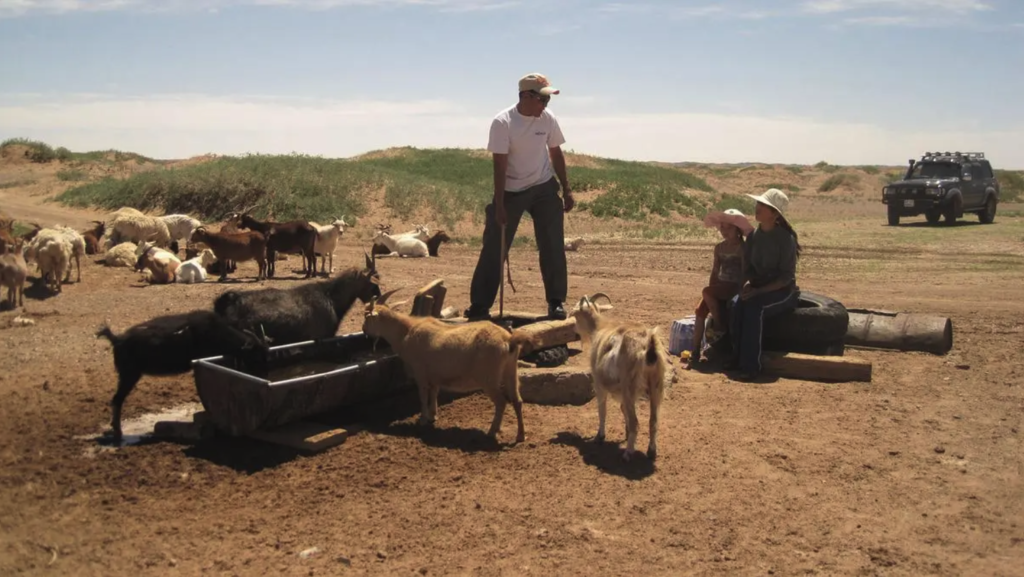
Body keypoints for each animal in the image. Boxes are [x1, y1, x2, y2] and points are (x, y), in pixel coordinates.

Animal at [96, 311, 270, 442]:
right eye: (256, 357)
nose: (264, 376)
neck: (216, 332)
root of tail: (117, 339)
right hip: (129, 374)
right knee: (117, 399)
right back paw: (118, 432)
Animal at [360, 286, 536, 442]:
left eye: (366, 317)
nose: (364, 330)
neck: (407, 332)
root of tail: (508, 340)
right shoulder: (434, 375)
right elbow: (434, 392)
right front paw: (433, 416)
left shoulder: (420, 371)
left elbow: (423, 395)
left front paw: (423, 419)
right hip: (510, 372)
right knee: (517, 400)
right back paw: (520, 436)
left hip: (489, 377)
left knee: (501, 402)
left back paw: (492, 432)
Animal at [569, 295, 671, 463]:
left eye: (575, 314)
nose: (574, 331)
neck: (600, 328)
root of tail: (648, 346)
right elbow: (623, 409)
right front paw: (626, 432)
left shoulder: (599, 384)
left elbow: (602, 411)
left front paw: (600, 437)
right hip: (656, 386)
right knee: (653, 421)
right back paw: (651, 452)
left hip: (629, 386)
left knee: (637, 422)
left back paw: (628, 453)